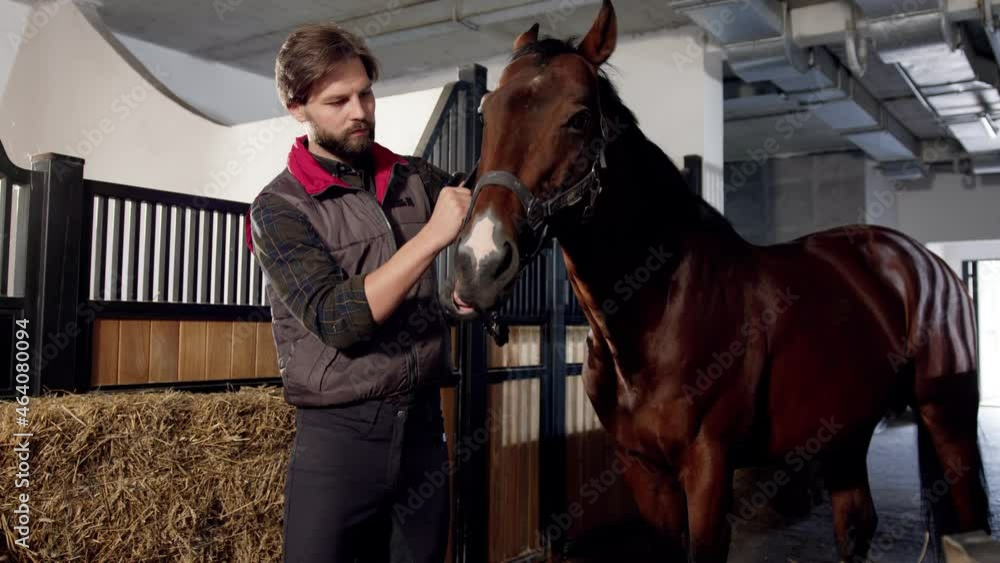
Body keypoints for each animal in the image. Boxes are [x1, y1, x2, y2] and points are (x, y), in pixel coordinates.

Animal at [438, 1, 992, 561]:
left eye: (578, 118)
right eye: (485, 113)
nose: (480, 262)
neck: (659, 307)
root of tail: (926, 264)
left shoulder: (708, 467)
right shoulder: (646, 472)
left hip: (947, 416)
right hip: (845, 431)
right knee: (857, 523)